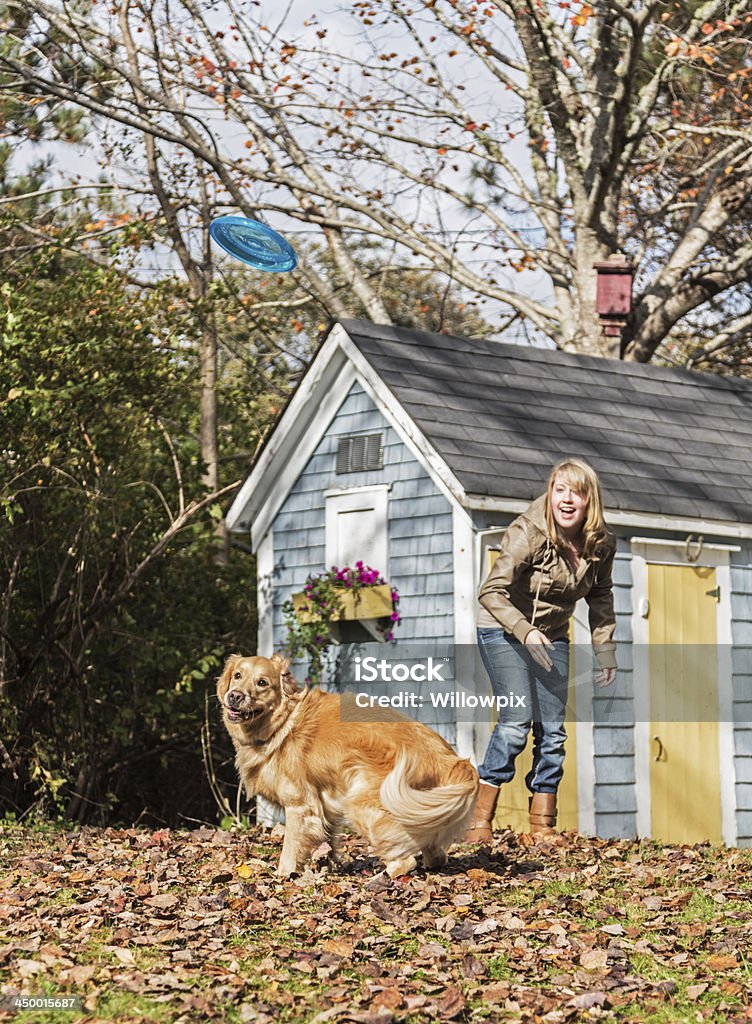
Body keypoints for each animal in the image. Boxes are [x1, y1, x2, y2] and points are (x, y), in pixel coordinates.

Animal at [218, 651, 479, 876]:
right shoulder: (326, 805)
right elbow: (328, 842)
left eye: (262, 682)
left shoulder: (299, 805)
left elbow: (290, 849)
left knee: (405, 860)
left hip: (362, 802)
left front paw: (284, 876)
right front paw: (327, 868)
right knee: (436, 854)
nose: (235, 696)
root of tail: (449, 758)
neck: (282, 723)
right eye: (237, 675)